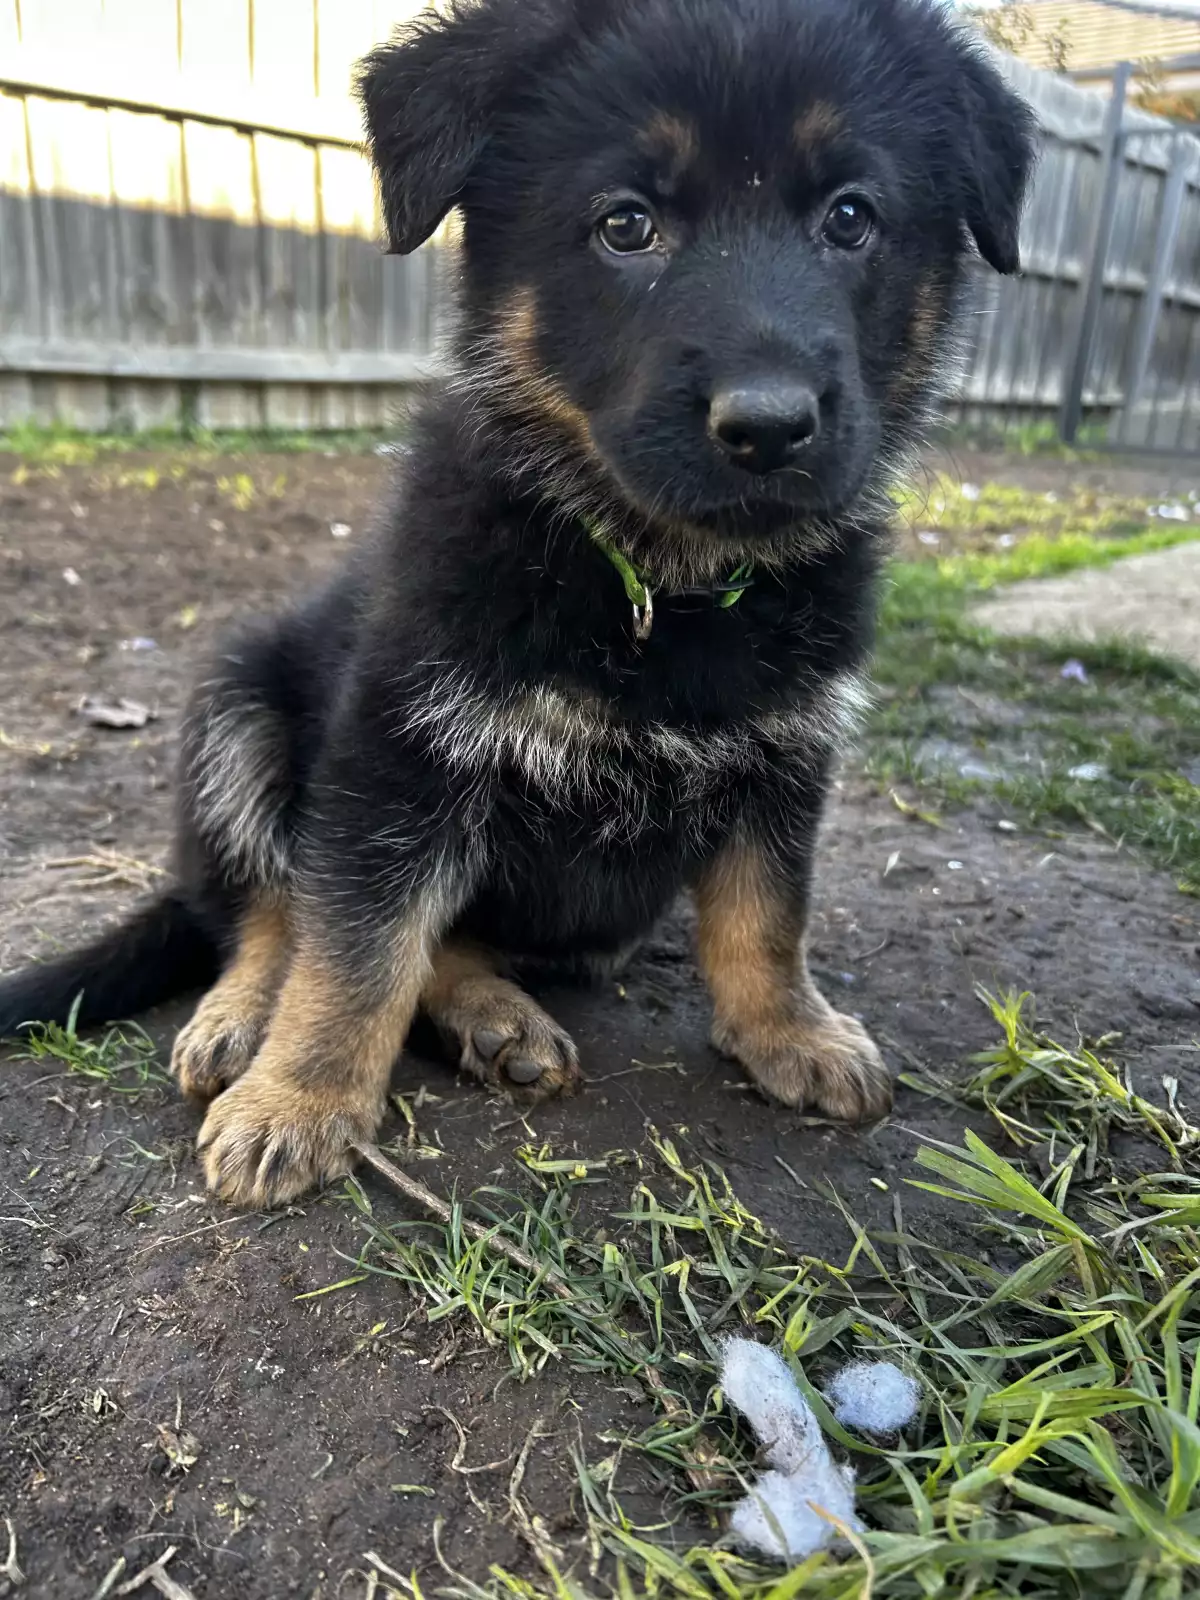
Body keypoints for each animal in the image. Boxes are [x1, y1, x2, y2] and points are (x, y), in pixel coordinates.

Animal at [0, 0, 1035, 1208]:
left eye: (852, 219)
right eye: (626, 225)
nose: (770, 426)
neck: (657, 580)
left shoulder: (787, 750)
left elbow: (769, 915)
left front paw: (792, 1030)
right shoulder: (397, 755)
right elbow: (355, 948)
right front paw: (298, 1097)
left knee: (446, 940)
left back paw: (494, 1017)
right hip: (239, 708)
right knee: (264, 907)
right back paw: (244, 1021)